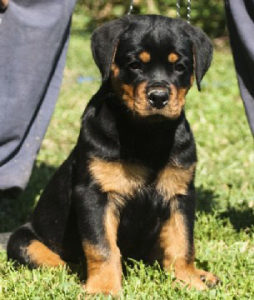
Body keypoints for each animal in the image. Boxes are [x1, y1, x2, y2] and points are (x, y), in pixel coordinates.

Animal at [6, 14, 219, 296]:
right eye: (134, 64)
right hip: (23, 240)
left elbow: (182, 243)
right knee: (52, 258)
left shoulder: (181, 194)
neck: (146, 133)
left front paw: (189, 282)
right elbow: (102, 247)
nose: (159, 97)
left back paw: (203, 275)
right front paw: (103, 289)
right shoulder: (94, 194)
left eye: (180, 67)